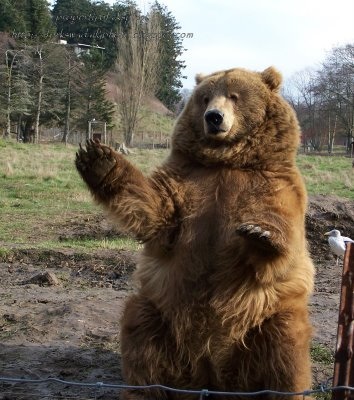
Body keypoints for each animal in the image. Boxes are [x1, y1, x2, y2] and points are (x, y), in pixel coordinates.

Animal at [76, 67, 314, 398]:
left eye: (234, 96)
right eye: (204, 98)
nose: (214, 117)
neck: (225, 160)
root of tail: (211, 375)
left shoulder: (273, 184)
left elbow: (280, 237)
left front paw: (259, 234)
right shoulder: (187, 179)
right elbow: (155, 210)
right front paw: (98, 158)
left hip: (266, 316)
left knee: (286, 347)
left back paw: (285, 391)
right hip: (161, 312)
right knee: (140, 332)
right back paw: (143, 390)